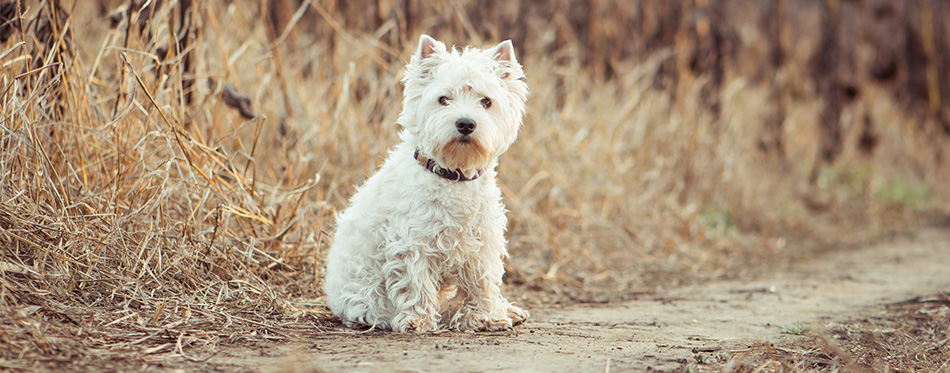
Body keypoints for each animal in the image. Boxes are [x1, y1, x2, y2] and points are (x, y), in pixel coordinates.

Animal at [328, 35, 532, 332]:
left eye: (486, 101)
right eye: (443, 99)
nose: (466, 124)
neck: (454, 175)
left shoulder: (482, 243)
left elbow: (483, 282)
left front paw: (487, 317)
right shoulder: (412, 242)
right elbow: (416, 283)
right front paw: (417, 320)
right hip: (366, 300)